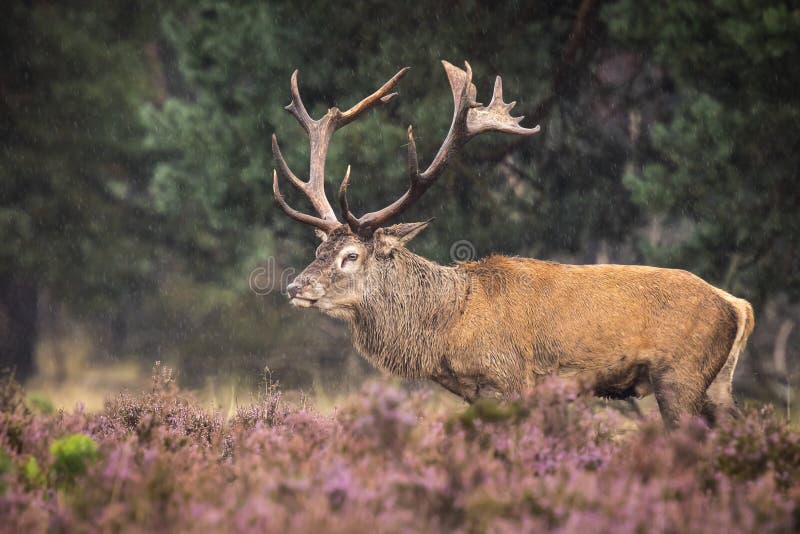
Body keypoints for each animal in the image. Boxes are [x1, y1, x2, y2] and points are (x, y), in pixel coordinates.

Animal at [272, 60, 752, 430]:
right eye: (317, 252)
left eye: (351, 256)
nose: (295, 287)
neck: (450, 327)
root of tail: (737, 305)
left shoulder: (511, 380)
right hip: (717, 384)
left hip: (681, 374)